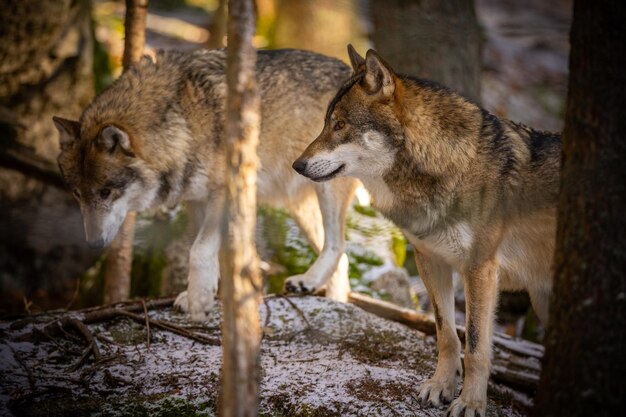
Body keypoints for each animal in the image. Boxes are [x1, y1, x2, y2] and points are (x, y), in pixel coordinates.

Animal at [53, 49, 356, 322]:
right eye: (78, 195)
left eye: (106, 192)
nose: (93, 244)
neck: (184, 121)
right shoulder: (197, 200)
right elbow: (212, 253)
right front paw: (208, 297)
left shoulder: (224, 192)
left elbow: (198, 250)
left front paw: (199, 302)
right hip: (301, 208)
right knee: (342, 260)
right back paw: (330, 301)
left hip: (326, 191)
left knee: (337, 246)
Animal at [290, 44, 560, 414]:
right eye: (325, 123)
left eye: (340, 124)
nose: (296, 165)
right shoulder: (431, 261)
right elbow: (446, 334)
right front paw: (441, 387)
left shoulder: (480, 270)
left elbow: (475, 346)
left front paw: (470, 403)